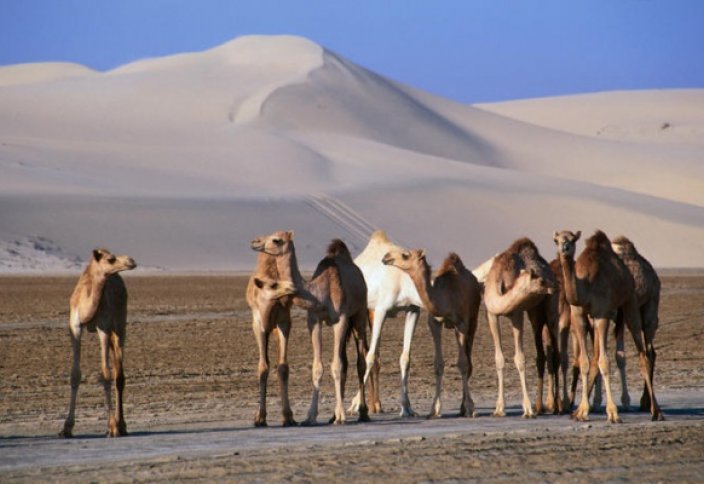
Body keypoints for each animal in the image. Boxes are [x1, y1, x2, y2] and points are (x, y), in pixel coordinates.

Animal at [59, 248, 137, 436]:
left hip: (119, 325)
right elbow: (75, 374)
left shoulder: (104, 328)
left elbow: (105, 374)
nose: (131, 261)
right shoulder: (74, 326)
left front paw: (112, 427)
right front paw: (66, 428)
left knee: (119, 375)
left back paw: (122, 425)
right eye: (110, 259)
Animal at [382, 248, 482, 418]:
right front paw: (434, 410)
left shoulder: (462, 323)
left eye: (405, 255)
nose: (386, 257)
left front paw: (470, 408)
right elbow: (438, 364)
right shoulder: (434, 323)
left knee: (468, 360)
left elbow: (463, 363)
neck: (445, 298)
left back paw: (464, 407)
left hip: (473, 318)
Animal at [482, 236, 560, 418]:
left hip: (549, 309)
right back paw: (545, 406)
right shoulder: (491, 314)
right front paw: (499, 409)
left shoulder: (516, 313)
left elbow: (520, 358)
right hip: (534, 311)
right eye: (541, 280)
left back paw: (557, 406)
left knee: (555, 351)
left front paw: (528, 410)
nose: (554, 285)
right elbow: (499, 359)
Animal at [552, 229, 664, 422]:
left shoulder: (602, 314)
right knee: (642, 352)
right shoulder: (581, 317)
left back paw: (654, 410)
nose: (564, 248)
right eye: (556, 240)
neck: (586, 285)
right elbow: (587, 361)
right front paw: (582, 409)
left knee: (646, 354)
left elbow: (603, 361)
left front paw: (611, 412)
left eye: (572, 240)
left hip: (639, 306)